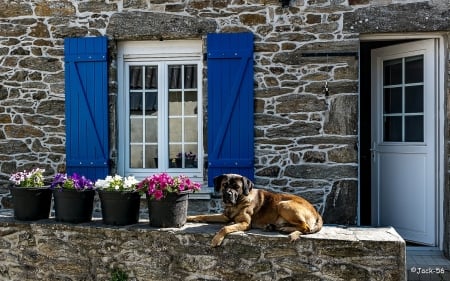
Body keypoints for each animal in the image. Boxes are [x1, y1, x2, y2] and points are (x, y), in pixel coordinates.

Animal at [186, 172, 324, 246]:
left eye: (237, 187)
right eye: (225, 185)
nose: (228, 194)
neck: (237, 202)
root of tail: (316, 212)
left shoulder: (245, 223)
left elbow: (225, 228)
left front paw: (216, 239)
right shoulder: (224, 216)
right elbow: (203, 215)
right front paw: (190, 217)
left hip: (283, 204)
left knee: (306, 227)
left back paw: (285, 229)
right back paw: (275, 227)